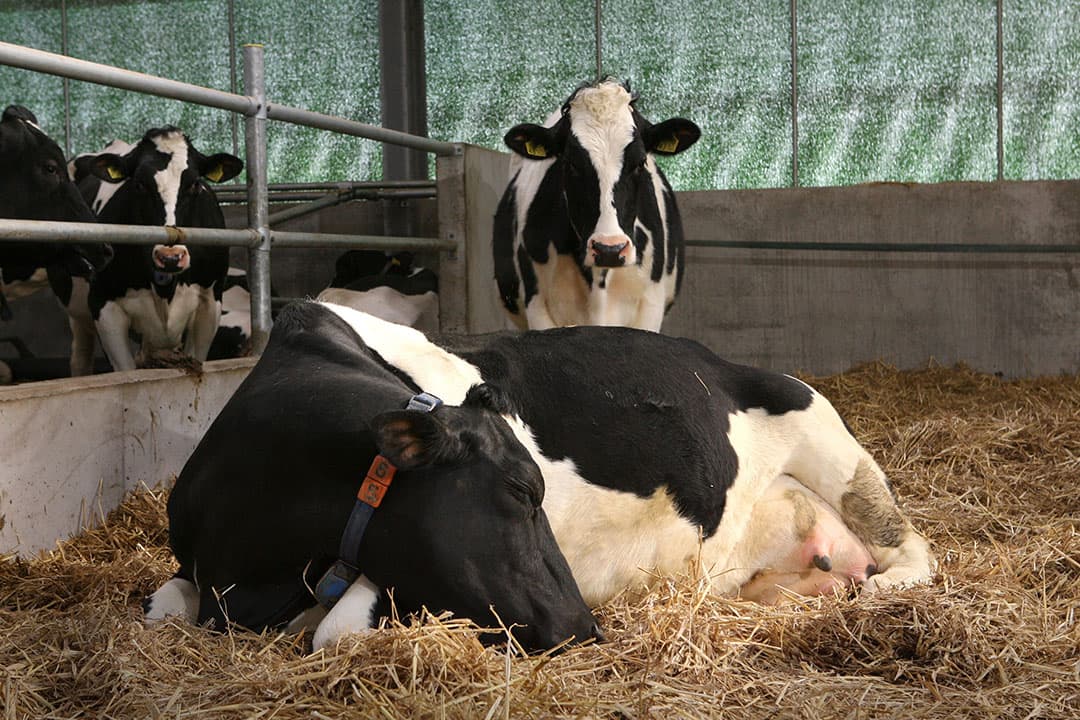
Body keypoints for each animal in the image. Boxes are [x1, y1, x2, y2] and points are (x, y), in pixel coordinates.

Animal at [145, 303, 934, 652]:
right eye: (525, 493)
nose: (584, 626)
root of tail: (721, 361)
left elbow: (335, 630)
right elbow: (160, 608)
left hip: (828, 436)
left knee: (913, 547)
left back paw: (881, 589)